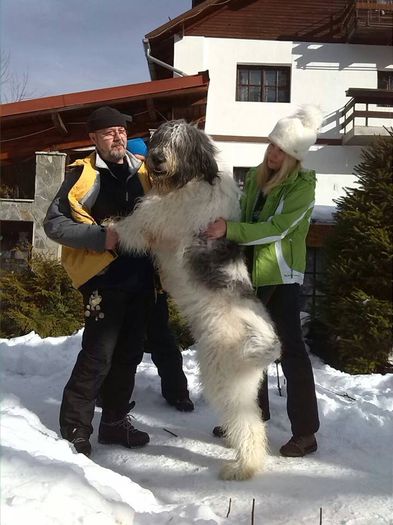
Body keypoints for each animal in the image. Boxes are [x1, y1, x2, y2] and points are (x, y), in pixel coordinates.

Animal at [113, 119, 278, 478]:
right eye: (160, 139)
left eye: (180, 143)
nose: (157, 159)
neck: (192, 180)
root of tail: (267, 339)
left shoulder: (162, 217)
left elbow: (138, 223)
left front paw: (112, 228)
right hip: (243, 384)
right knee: (252, 419)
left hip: (222, 375)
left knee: (247, 425)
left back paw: (242, 468)